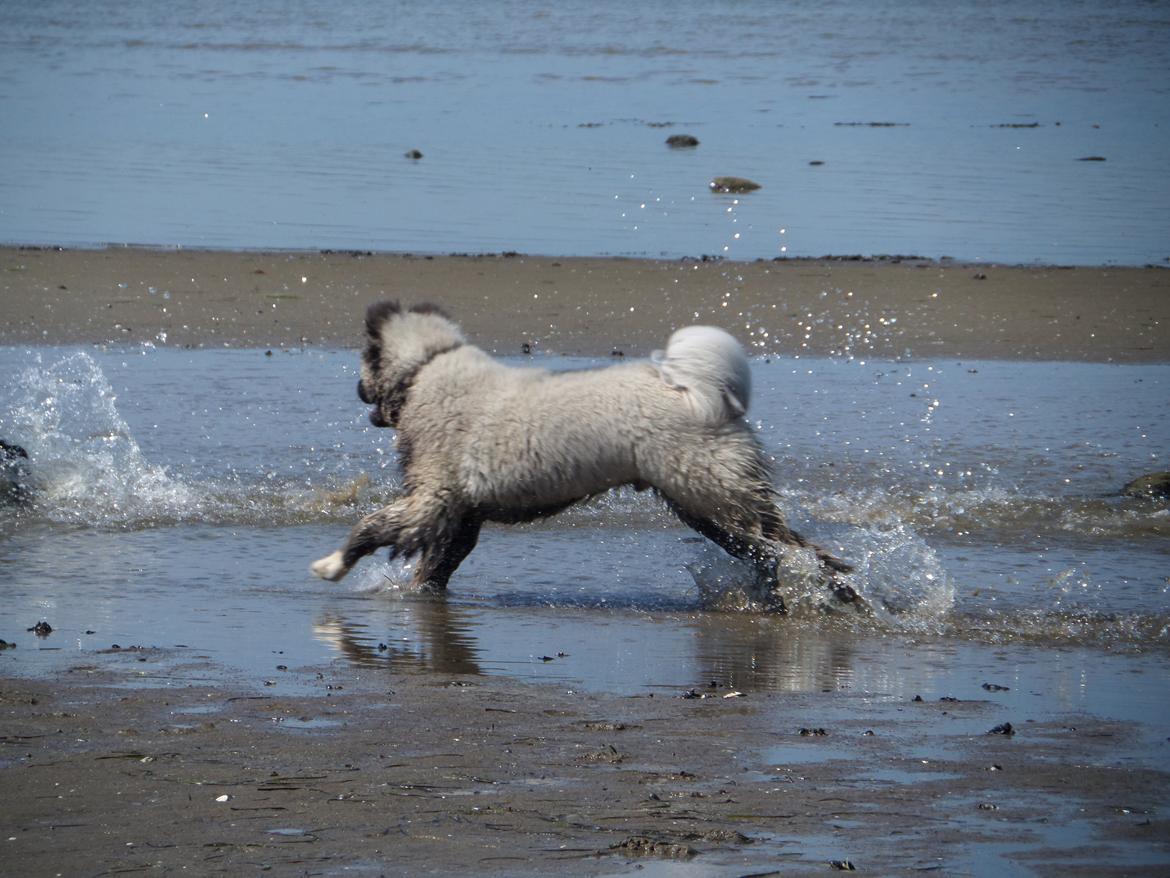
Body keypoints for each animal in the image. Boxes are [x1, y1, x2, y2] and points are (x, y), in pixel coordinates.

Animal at [313, 302, 861, 613]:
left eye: (364, 359)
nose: (356, 388)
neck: (427, 367)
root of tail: (700, 393)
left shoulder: (431, 501)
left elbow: (370, 527)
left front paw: (332, 566)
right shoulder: (461, 515)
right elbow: (436, 567)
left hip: (710, 498)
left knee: (782, 551)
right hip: (717, 505)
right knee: (791, 550)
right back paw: (831, 598)